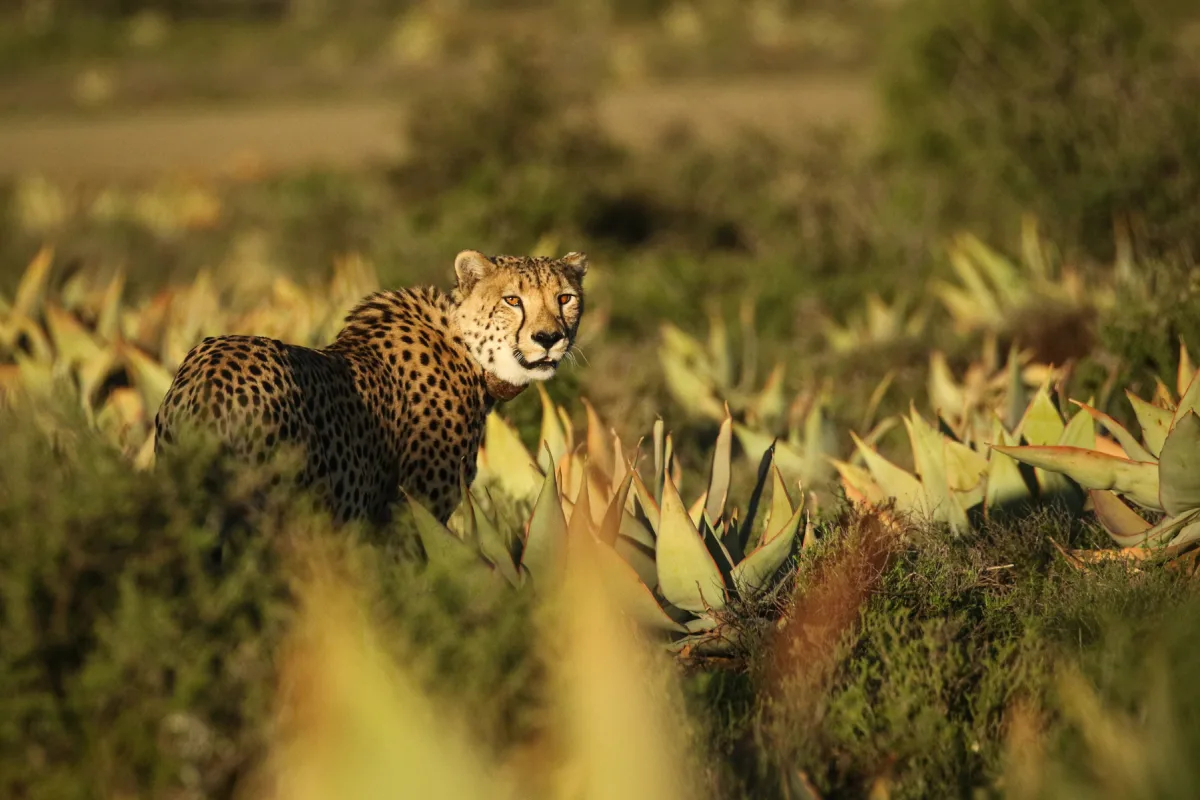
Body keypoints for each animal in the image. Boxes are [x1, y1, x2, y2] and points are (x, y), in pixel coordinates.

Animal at [153, 249, 588, 525]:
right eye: (512, 300)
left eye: (565, 298)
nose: (549, 338)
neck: (471, 352)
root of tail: (211, 373)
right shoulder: (407, 517)